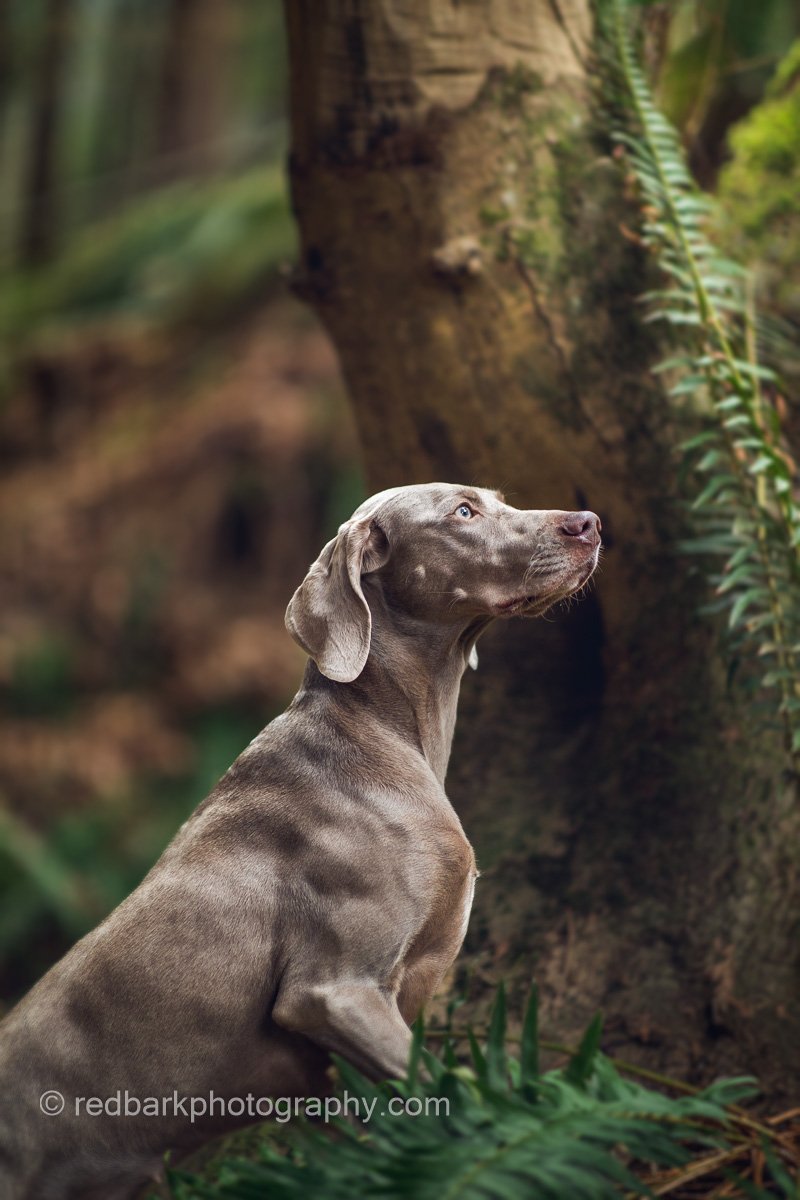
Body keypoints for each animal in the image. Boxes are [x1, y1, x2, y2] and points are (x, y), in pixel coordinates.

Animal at [0, 482, 599, 1195]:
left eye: (493, 499)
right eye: (462, 512)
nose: (590, 523)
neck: (379, 729)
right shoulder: (333, 994)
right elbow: (450, 1096)